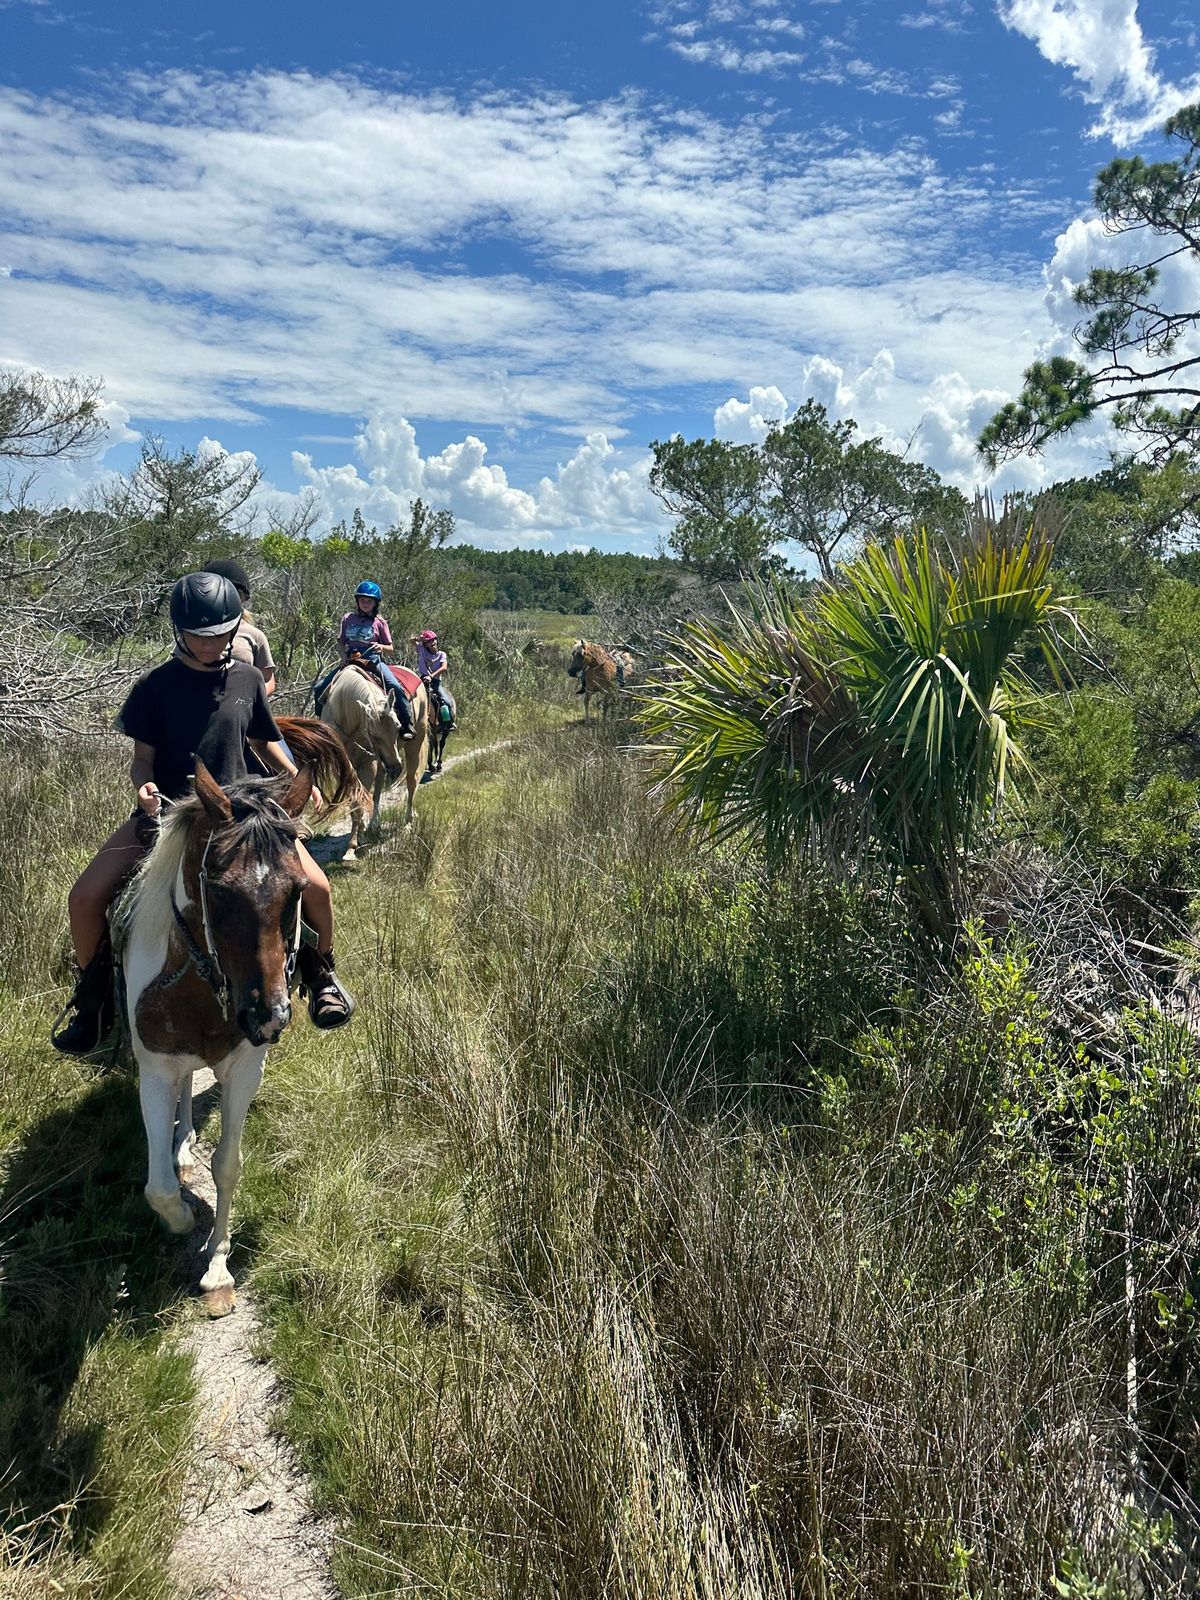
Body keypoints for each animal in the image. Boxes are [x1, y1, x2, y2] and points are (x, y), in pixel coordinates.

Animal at [120, 723, 355, 1312]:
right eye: (219, 890)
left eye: (298, 890)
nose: (268, 1016)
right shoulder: (154, 1069)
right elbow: (158, 1187)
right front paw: (182, 1217)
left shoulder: (246, 1068)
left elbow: (228, 1164)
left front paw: (218, 1268)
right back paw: (181, 1148)